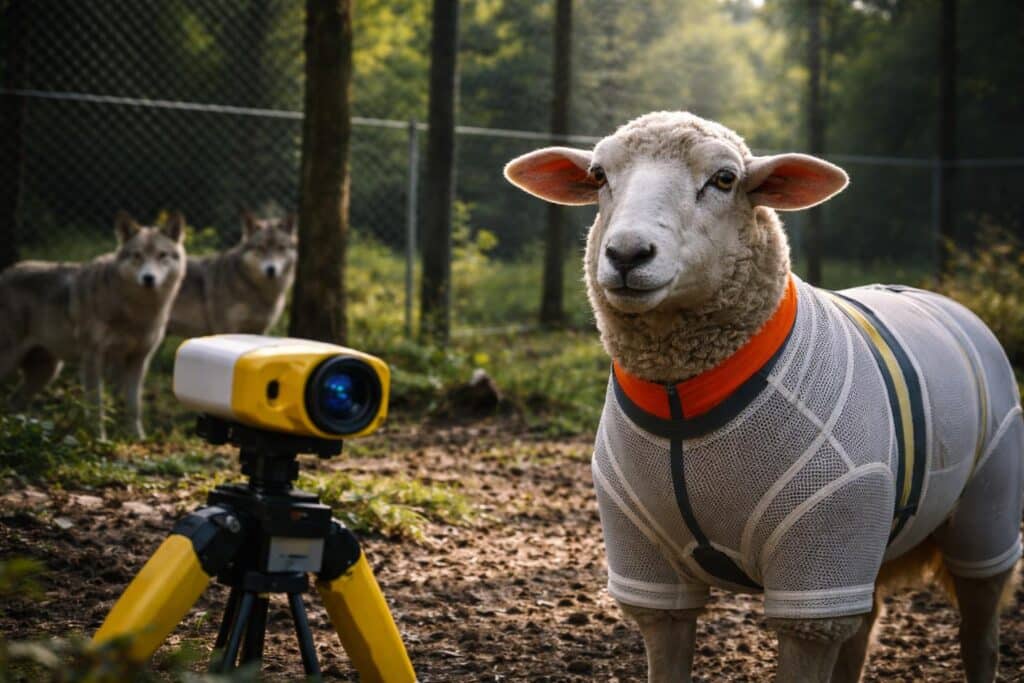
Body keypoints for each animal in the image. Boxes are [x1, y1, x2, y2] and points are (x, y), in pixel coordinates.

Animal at [504, 111, 1023, 683]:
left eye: (725, 179)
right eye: (598, 176)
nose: (626, 254)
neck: (681, 403)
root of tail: (929, 294)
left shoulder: (817, 573)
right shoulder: (649, 569)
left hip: (985, 514)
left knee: (980, 635)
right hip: (870, 542)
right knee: (863, 632)